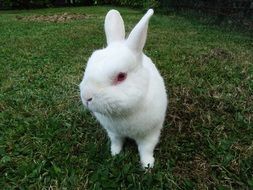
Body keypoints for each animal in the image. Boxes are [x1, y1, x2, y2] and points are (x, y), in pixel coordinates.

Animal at [80, 8, 168, 168]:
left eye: (121, 76)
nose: (86, 97)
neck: (123, 113)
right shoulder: (114, 133)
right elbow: (116, 143)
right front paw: (114, 154)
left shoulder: (150, 134)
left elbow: (146, 150)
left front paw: (148, 166)